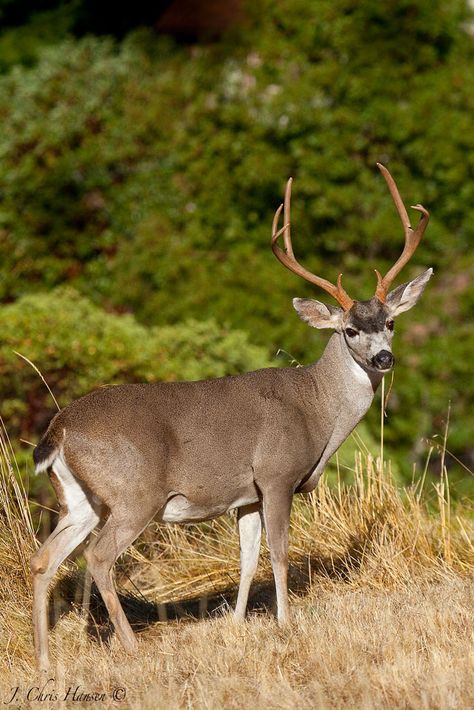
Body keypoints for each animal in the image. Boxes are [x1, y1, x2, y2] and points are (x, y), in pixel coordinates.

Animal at [30, 164, 434, 672]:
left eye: (391, 323)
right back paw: (131, 647)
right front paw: (285, 623)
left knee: (44, 559)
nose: (384, 358)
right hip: (134, 494)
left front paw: (238, 624)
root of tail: (59, 429)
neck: (316, 408)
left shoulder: (246, 495)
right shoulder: (277, 474)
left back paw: (45, 662)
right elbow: (280, 553)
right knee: (98, 557)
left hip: (80, 498)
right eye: (349, 330)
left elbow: (247, 557)